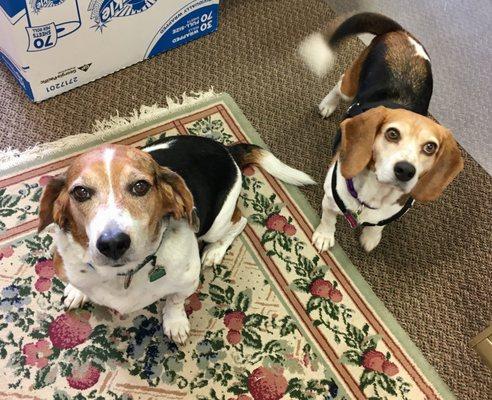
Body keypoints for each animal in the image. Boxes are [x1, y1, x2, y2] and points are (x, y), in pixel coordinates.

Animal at [39, 136, 316, 342]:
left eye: (140, 187)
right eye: (80, 192)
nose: (113, 243)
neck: (124, 275)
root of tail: (226, 150)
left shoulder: (187, 281)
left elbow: (175, 299)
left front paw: (175, 323)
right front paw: (77, 290)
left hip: (216, 224)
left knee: (240, 221)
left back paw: (215, 251)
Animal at [298, 14, 464, 252]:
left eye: (430, 147)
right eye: (392, 134)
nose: (405, 170)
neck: (375, 193)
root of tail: (401, 32)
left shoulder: (390, 214)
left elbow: (378, 225)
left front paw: (370, 237)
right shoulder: (330, 198)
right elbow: (328, 218)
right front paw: (324, 236)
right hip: (350, 85)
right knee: (339, 84)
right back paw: (328, 105)